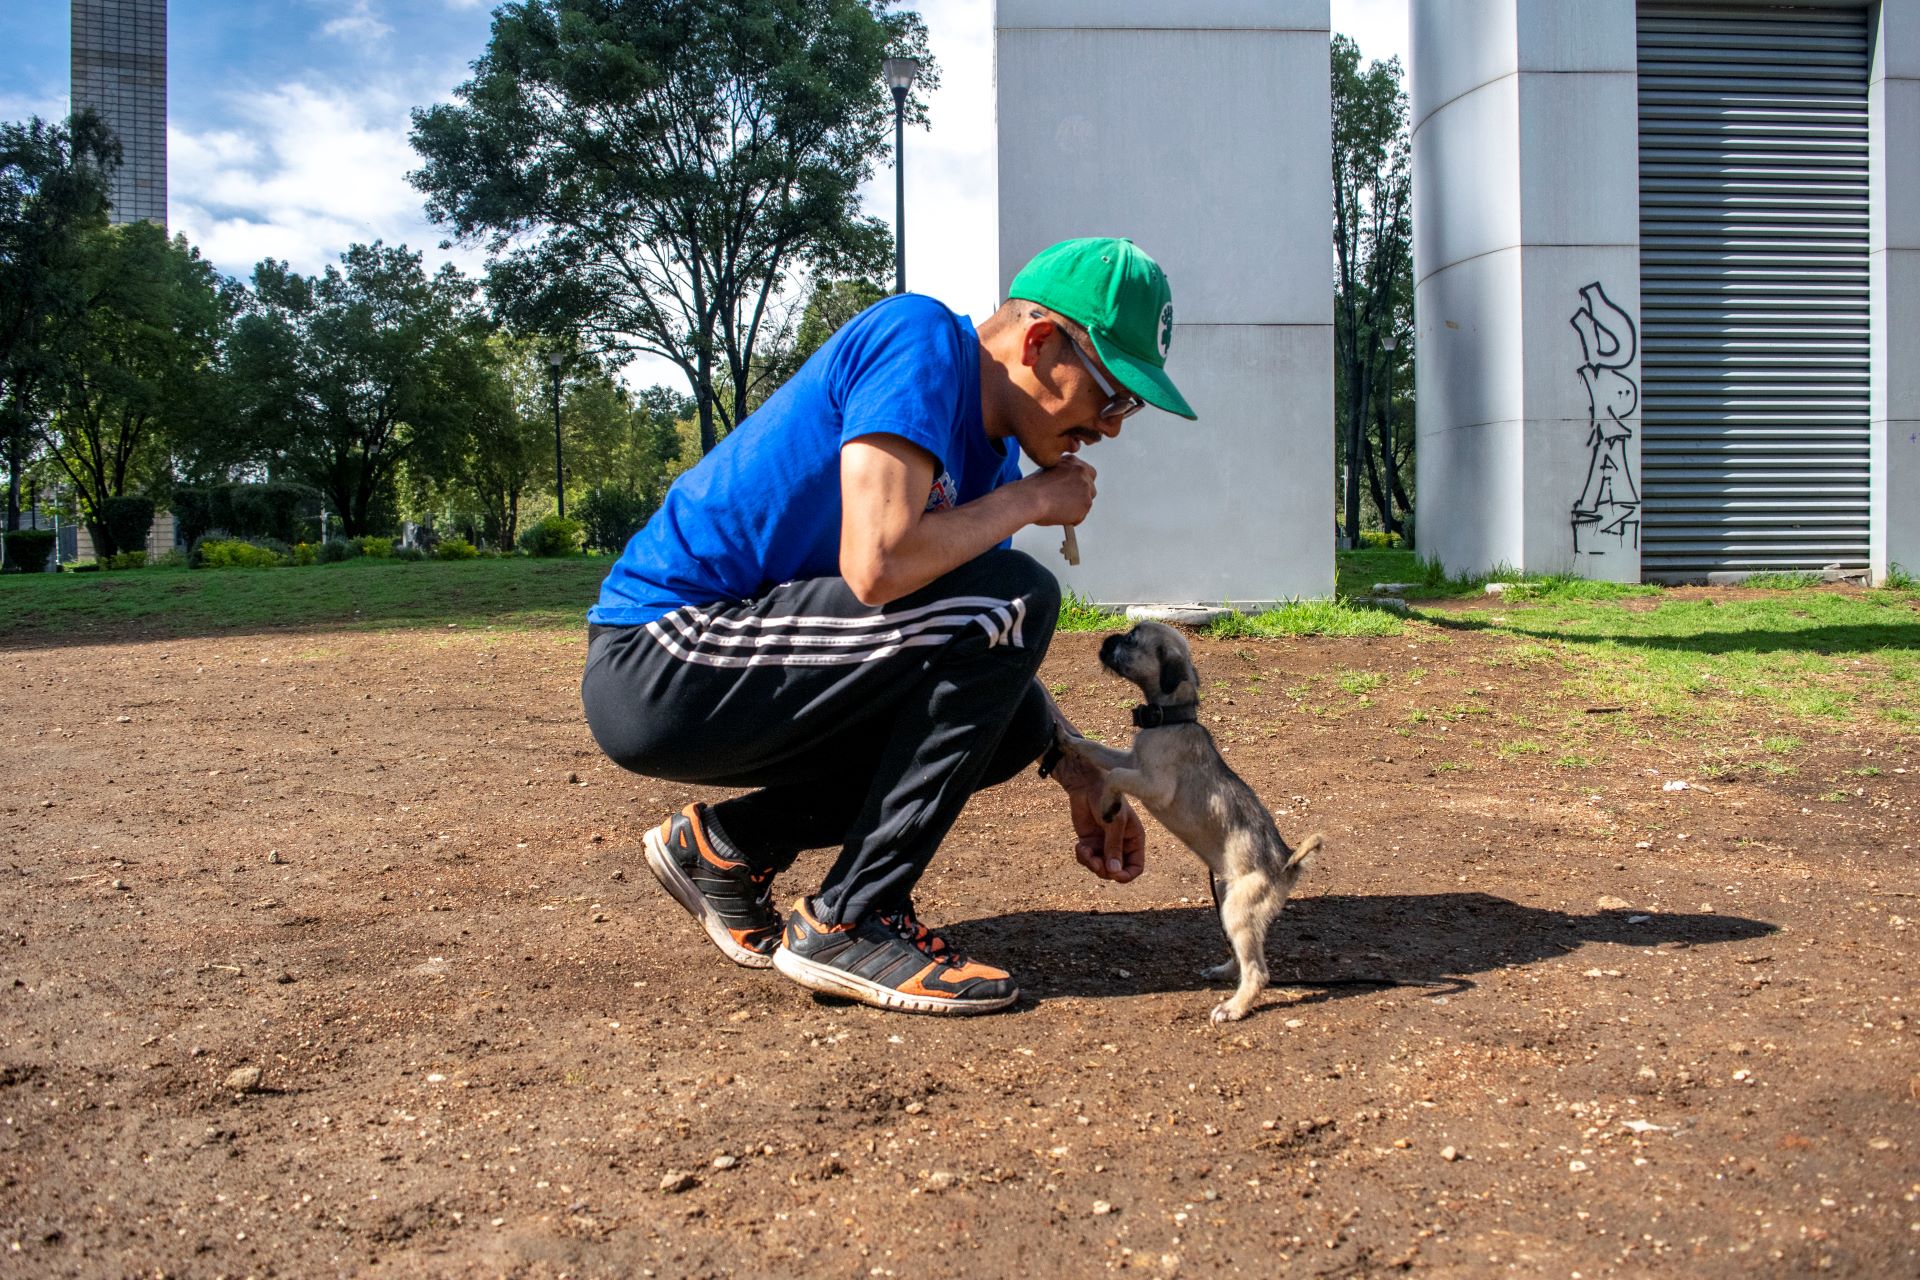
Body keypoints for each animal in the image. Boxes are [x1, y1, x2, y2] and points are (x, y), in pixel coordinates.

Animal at [1059, 621, 1328, 1020]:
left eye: (1131, 640)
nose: (1106, 640)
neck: (1171, 719)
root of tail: (1287, 863)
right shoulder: (1131, 759)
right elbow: (1097, 750)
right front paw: (1064, 737)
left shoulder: (1153, 784)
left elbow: (1114, 777)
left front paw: (1108, 804)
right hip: (1228, 902)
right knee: (1243, 957)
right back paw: (1224, 972)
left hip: (1237, 910)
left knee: (1258, 972)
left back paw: (1233, 1008)